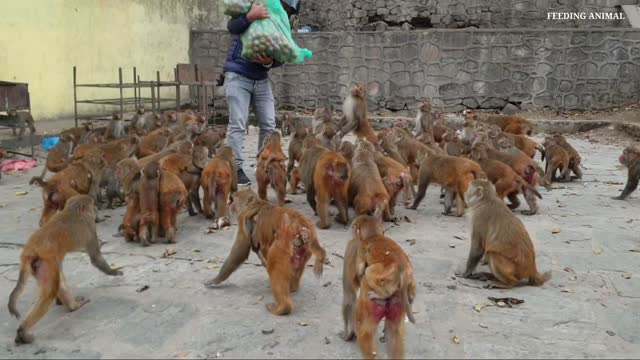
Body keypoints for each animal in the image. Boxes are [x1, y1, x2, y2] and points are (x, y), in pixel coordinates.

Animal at [7, 195, 122, 344]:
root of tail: (29, 251)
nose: (96, 209)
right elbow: (96, 257)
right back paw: (24, 330)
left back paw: (70, 305)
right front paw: (114, 272)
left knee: (58, 281)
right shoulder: (89, 228)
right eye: (92, 206)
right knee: (50, 291)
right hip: (46, 263)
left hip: (41, 266)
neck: (72, 210)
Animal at [204, 188, 328, 316]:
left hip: (282, 247)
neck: (256, 204)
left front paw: (215, 280)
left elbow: (239, 252)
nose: (231, 195)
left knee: (274, 267)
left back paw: (283, 308)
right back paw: (293, 288)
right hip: (304, 252)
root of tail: (301, 227)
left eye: (236, 197)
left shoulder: (244, 219)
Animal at [342, 215, 418, 358]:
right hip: (407, 284)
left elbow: (358, 273)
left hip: (383, 276)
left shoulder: (360, 249)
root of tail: (403, 271)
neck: (373, 235)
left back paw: (379, 293)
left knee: (368, 271)